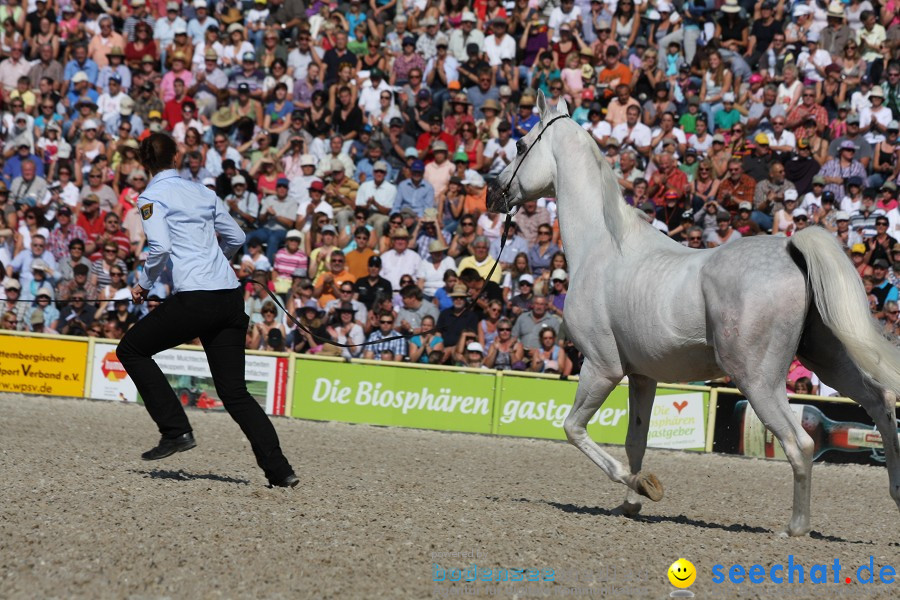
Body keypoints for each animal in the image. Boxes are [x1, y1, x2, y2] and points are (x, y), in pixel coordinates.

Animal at [488, 88, 900, 536]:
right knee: (880, 403)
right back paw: (894, 493)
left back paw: (795, 528)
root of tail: (792, 251)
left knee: (801, 442)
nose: (494, 192)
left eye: (520, 144)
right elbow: (636, 440)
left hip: (759, 380)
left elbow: (573, 428)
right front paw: (630, 504)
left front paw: (644, 485)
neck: (604, 247)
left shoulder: (601, 367)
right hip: (827, 359)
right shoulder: (642, 377)